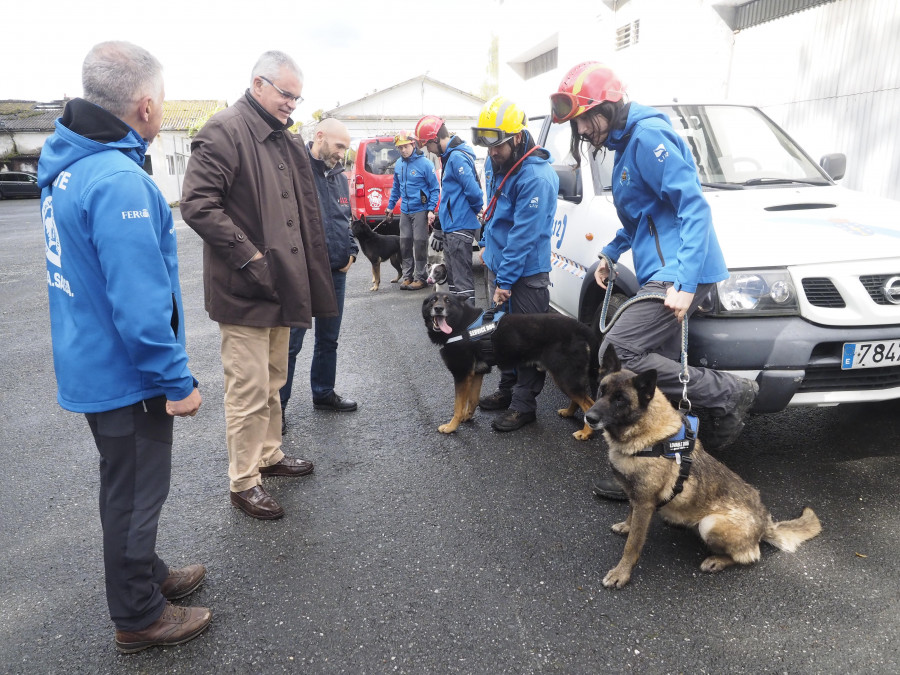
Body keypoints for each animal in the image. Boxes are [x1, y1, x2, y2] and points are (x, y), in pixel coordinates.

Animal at [420, 294, 596, 440]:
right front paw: (467, 416)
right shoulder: (476, 373)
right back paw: (569, 413)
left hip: (564, 376)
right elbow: (472, 399)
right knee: (581, 399)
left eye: (448, 301)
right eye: (432, 300)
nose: (438, 308)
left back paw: (586, 432)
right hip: (568, 377)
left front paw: (451, 427)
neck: (462, 323)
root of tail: (578, 326)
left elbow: (457, 406)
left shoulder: (461, 374)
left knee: (589, 404)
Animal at [584, 346, 824, 588]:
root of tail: (766, 524)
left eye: (620, 400)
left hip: (710, 524)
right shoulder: (637, 497)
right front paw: (626, 526)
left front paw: (621, 573)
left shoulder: (644, 503)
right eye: (601, 391)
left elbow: (632, 545)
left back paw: (717, 560)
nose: (589, 418)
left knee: (750, 555)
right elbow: (631, 514)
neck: (646, 436)